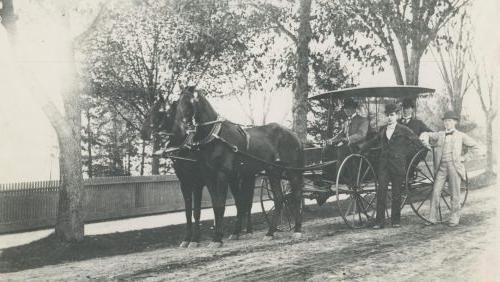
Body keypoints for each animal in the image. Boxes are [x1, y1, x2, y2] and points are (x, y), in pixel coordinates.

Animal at [172, 86, 304, 247]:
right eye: (178, 103)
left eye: (191, 102)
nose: (184, 126)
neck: (215, 137)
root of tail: (292, 134)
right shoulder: (209, 177)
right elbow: (216, 204)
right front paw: (219, 236)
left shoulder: (222, 175)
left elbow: (221, 205)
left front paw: (217, 239)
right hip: (273, 171)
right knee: (279, 198)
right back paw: (270, 232)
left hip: (292, 171)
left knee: (296, 196)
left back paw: (297, 230)